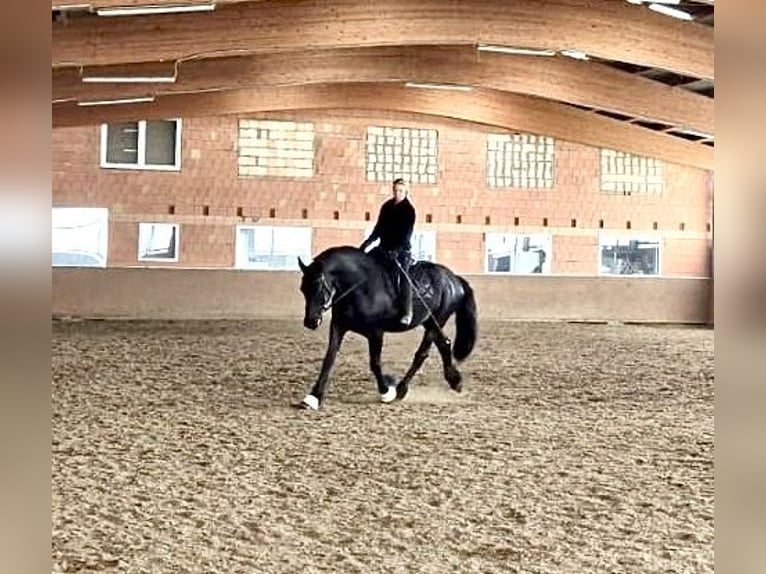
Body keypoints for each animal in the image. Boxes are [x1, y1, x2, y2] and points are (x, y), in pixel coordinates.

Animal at [297, 245, 478, 410]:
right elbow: (329, 359)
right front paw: (313, 398)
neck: (360, 286)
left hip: (437, 321)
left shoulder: (376, 332)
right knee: (444, 344)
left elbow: (375, 363)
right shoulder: (339, 327)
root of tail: (453, 278)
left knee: (422, 354)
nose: (311, 322)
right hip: (429, 321)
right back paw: (455, 382)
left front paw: (386, 392)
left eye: (319, 286)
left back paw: (401, 390)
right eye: (303, 289)